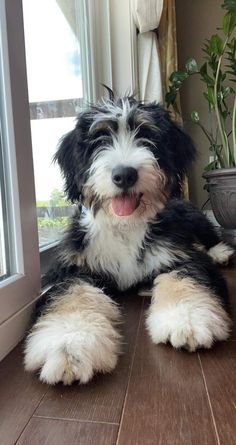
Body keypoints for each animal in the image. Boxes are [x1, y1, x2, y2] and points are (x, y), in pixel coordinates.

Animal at [24, 95, 234, 384]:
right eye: (100, 139)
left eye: (146, 135)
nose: (124, 175)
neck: (124, 224)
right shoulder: (70, 268)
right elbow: (70, 295)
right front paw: (70, 345)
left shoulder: (180, 253)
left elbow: (187, 276)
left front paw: (188, 319)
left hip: (192, 217)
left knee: (208, 237)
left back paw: (220, 252)